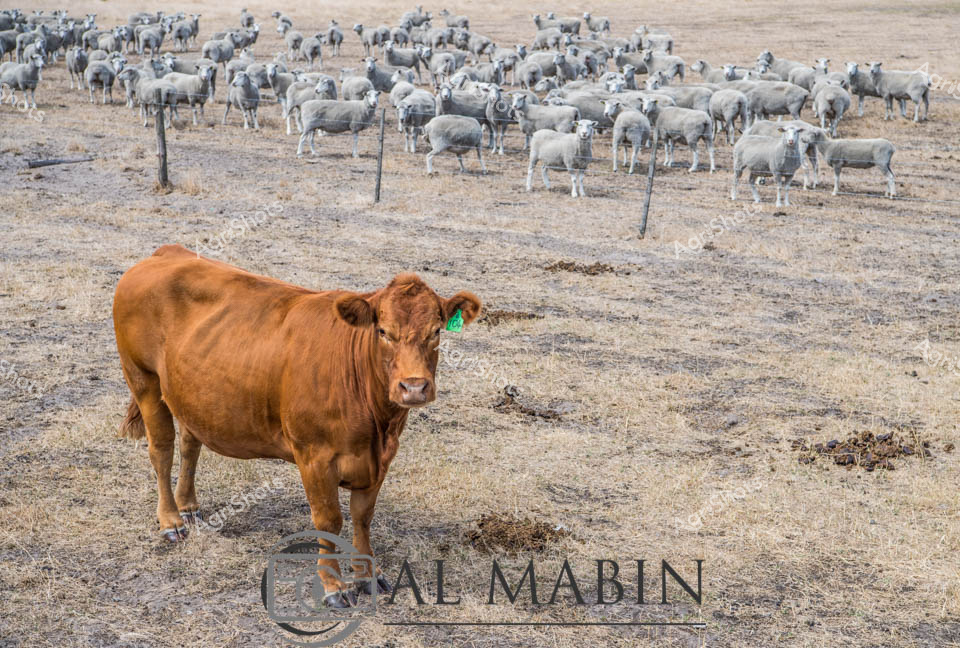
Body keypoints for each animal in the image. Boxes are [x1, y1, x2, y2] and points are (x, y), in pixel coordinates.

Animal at [112, 244, 481, 607]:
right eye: (383, 332)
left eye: (436, 331)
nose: (414, 387)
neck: (377, 426)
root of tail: (166, 253)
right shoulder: (315, 457)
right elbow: (330, 521)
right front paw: (334, 586)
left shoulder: (381, 459)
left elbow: (363, 517)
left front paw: (366, 576)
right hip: (144, 380)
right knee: (162, 450)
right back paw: (172, 521)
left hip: (191, 394)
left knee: (191, 444)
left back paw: (189, 507)